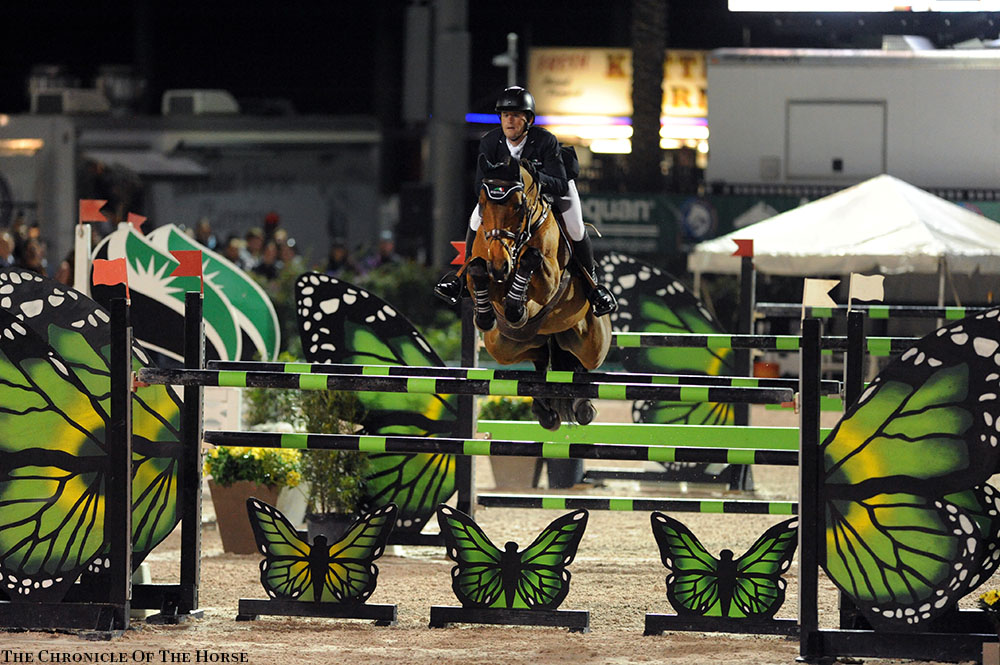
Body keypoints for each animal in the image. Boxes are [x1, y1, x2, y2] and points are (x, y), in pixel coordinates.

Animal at [460, 154, 608, 430]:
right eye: (482, 204)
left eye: (519, 206)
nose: (499, 265)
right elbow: (476, 269)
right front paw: (486, 314)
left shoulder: (548, 284)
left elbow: (533, 261)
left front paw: (516, 308)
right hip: (502, 346)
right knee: (539, 358)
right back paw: (544, 411)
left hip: (593, 345)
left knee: (581, 365)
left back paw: (582, 407)